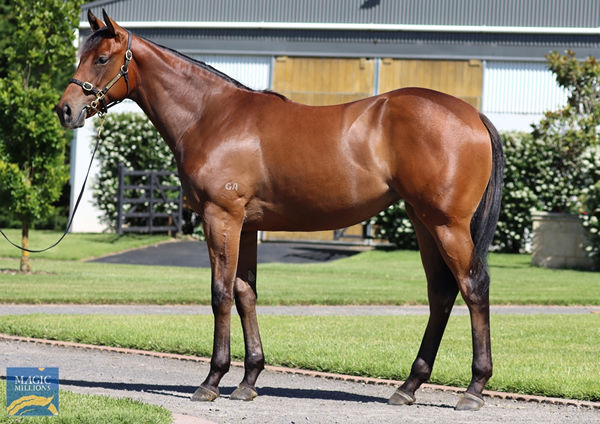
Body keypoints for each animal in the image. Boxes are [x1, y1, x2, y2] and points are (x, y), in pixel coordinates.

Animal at [56, 10, 504, 410]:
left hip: (447, 225)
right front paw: (249, 380)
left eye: (101, 58)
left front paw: (212, 380)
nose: (66, 109)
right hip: (423, 222)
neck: (211, 116)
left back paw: (473, 390)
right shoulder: (247, 226)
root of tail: (472, 114)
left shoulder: (221, 218)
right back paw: (408, 387)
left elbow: (220, 293)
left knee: (474, 287)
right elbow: (245, 293)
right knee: (441, 293)